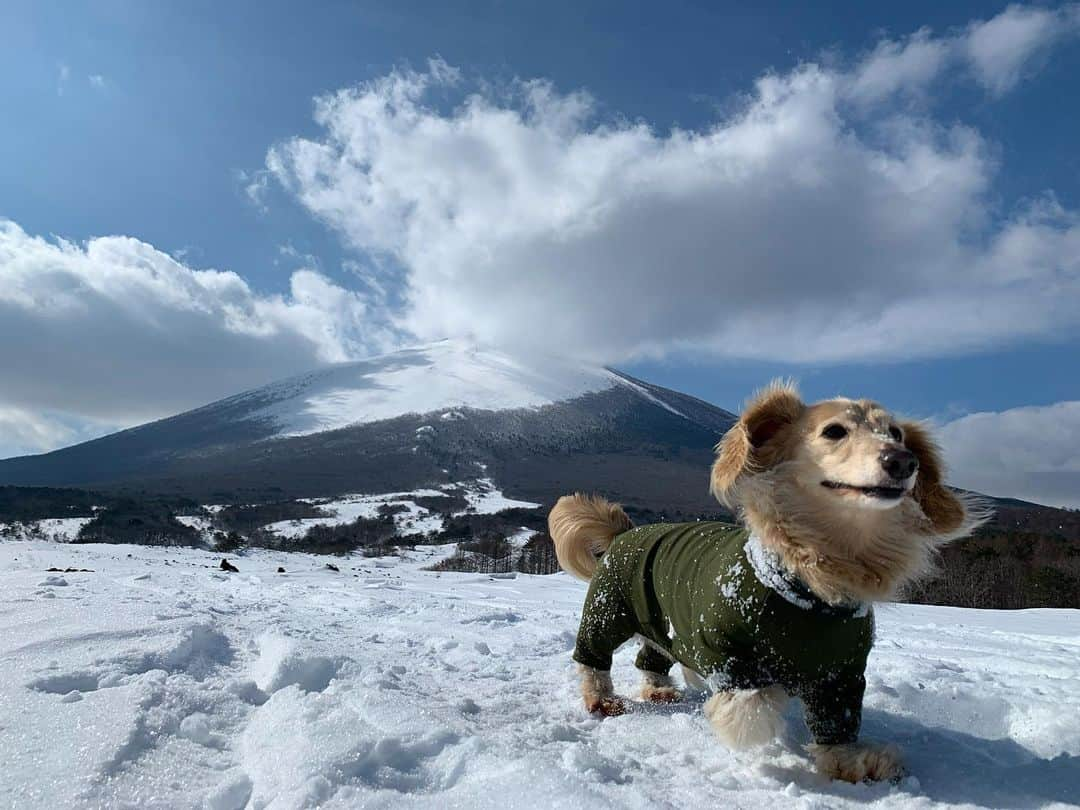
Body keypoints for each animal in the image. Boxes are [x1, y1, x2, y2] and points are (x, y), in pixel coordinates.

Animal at [552, 384, 984, 781]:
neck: (811, 585)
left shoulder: (842, 673)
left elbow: (838, 722)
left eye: (896, 433)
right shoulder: (723, 651)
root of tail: (625, 531)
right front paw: (769, 701)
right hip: (608, 611)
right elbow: (753, 706)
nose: (903, 461)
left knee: (651, 657)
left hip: (658, 621)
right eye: (834, 431)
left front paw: (852, 761)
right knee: (593, 659)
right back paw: (601, 700)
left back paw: (658, 690)